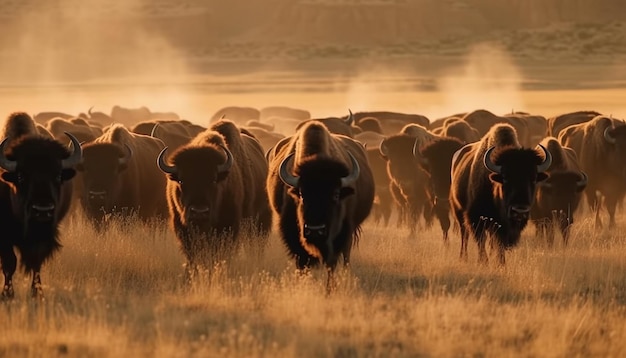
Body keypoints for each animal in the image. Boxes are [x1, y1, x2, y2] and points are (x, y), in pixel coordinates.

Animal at [0, 113, 81, 298]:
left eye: (58, 176)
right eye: (21, 176)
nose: (43, 211)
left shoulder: (43, 237)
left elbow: (36, 262)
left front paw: (37, 293)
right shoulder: (4, 236)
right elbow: (9, 263)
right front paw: (8, 294)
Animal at [266, 121, 372, 290]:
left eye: (336, 195)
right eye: (302, 194)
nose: (315, 230)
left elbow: (332, 262)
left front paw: (330, 288)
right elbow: (302, 261)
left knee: (346, 254)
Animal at [448, 124, 552, 264]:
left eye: (534, 178)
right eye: (505, 178)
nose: (519, 211)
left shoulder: (502, 226)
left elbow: (499, 245)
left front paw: (500, 263)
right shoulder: (476, 218)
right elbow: (481, 241)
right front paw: (483, 262)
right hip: (458, 211)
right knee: (464, 235)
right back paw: (463, 257)